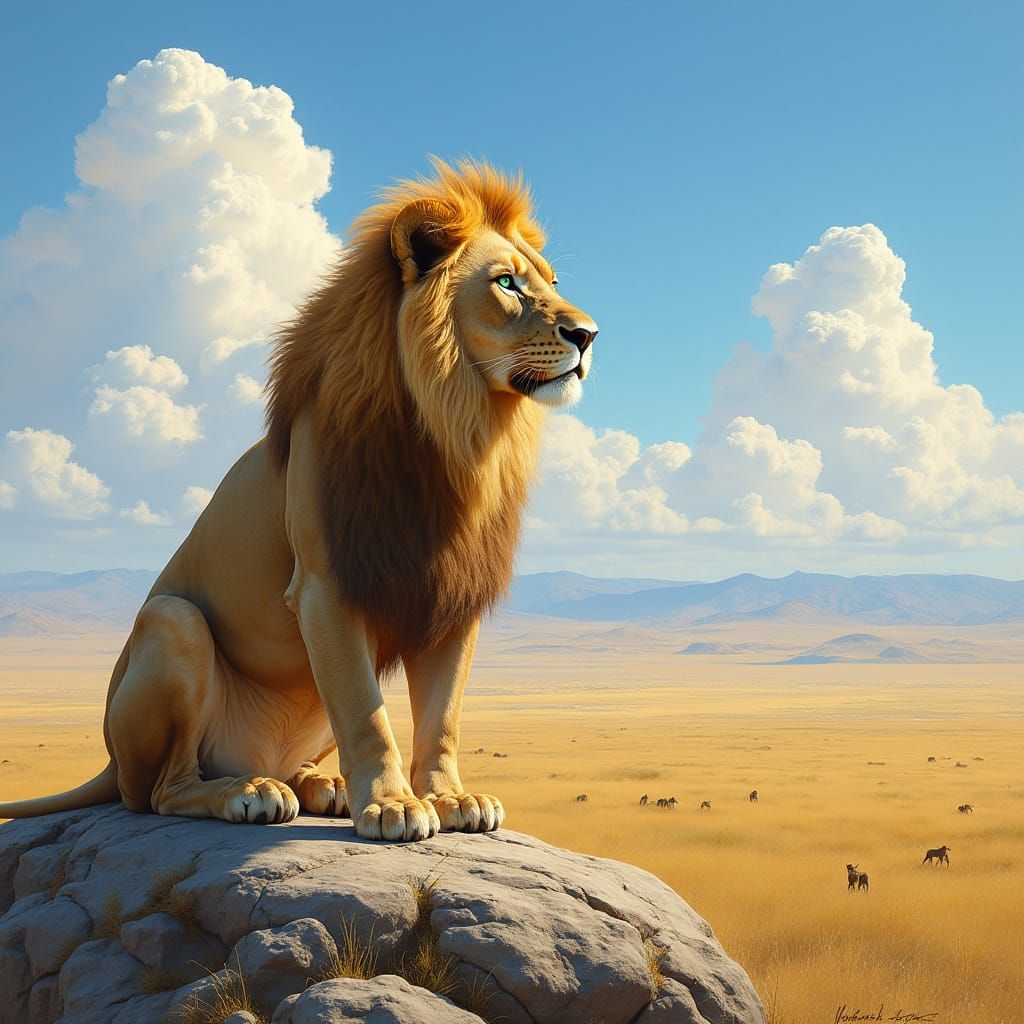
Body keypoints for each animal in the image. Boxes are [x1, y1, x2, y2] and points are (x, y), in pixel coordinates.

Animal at [0, 159, 598, 842]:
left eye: (552, 283)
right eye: (506, 284)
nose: (589, 334)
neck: (457, 431)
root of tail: (106, 757)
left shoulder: (451, 591)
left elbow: (443, 715)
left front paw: (451, 798)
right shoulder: (325, 585)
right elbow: (368, 713)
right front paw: (392, 806)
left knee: (276, 766)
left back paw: (322, 786)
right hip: (173, 627)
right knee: (158, 789)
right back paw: (247, 792)